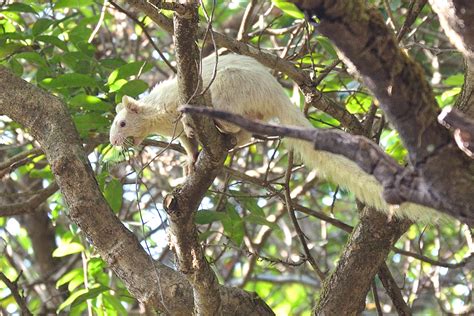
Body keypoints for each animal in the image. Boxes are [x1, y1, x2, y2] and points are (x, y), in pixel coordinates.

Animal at [110, 53, 440, 222]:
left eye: (122, 123)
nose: (113, 142)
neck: (158, 116)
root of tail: (274, 93)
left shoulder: (179, 101)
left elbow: (189, 123)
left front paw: (193, 133)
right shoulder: (176, 133)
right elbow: (189, 146)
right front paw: (190, 164)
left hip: (228, 89)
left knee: (232, 123)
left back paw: (220, 125)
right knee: (243, 134)